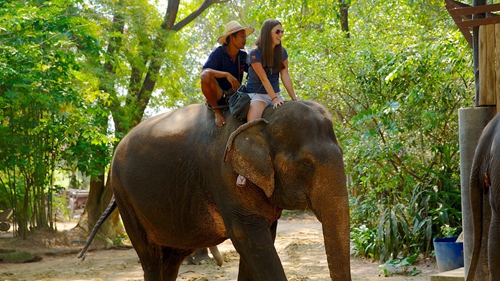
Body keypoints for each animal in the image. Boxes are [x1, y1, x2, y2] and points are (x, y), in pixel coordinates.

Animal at [77, 100, 352, 280]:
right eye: (306, 164)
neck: (262, 117)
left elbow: (261, 240)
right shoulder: (223, 173)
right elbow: (248, 237)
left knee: (170, 259)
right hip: (125, 198)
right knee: (152, 258)